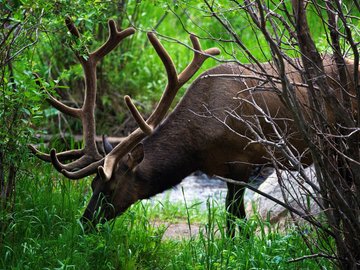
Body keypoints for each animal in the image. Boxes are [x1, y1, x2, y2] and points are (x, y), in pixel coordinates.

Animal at [30, 17, 358, 235]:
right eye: (92, 185)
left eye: (110, 188)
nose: (84, 223)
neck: (197, 148)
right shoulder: (224, 169)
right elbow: (233, 217)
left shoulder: (242, 160)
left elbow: (235, 219)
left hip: (344, 136)